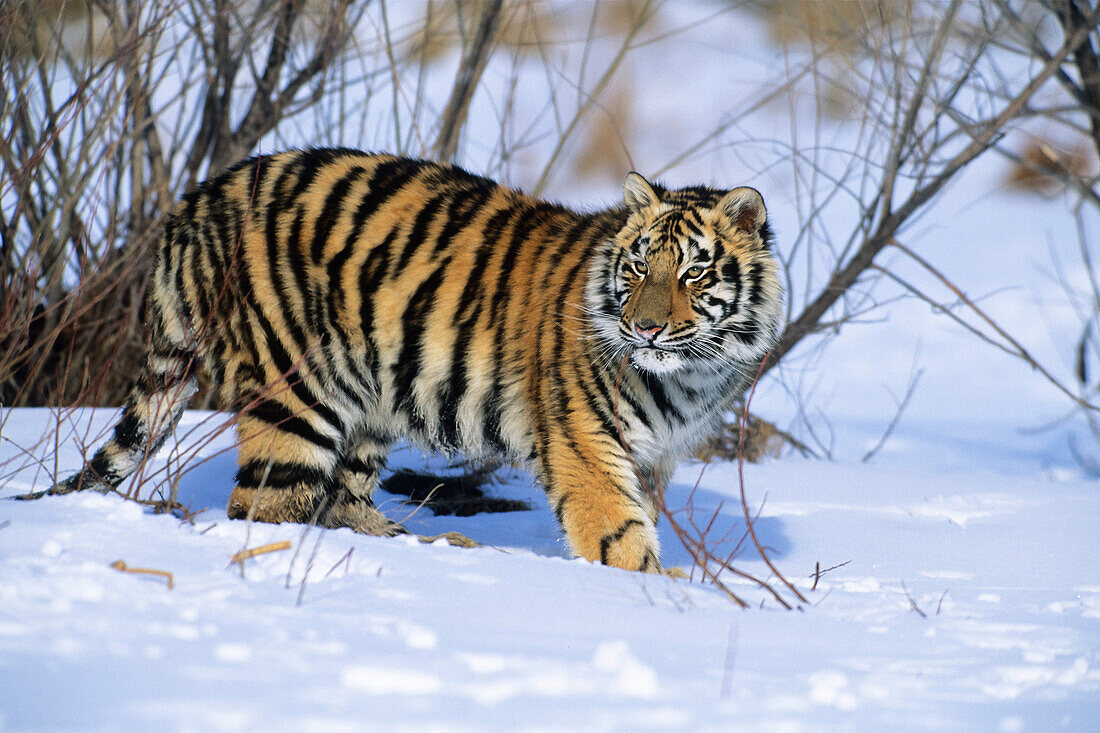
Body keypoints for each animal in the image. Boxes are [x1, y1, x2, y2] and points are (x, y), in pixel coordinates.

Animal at [45, 147, 783, 572]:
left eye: (691, 273)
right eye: (636, 268)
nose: (645, 327)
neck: (691, 376)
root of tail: (199, 197)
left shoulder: (653, 455)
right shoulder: (585, 444)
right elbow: (620, 537)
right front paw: (660, 598)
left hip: (368, 397)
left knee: (341, 501)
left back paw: (429, 546)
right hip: (295, 393)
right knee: (268, 505)